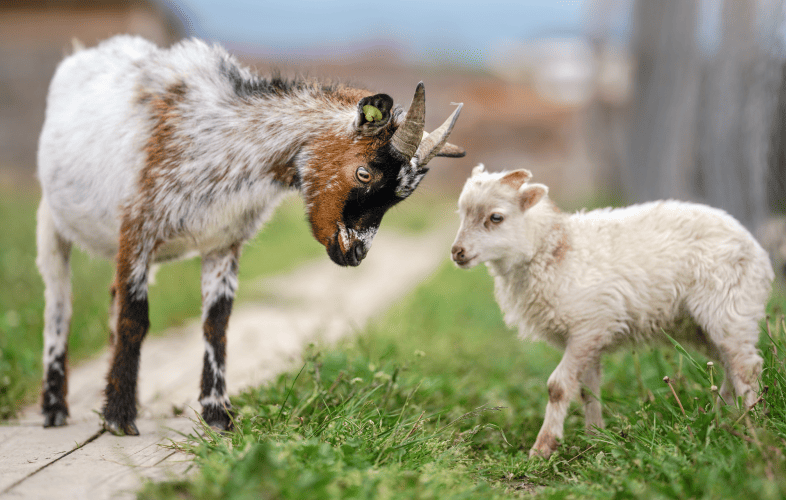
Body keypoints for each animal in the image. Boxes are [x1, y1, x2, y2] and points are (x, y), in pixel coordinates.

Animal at [36, 35, 465, 435]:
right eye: (364, 172)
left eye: (401, 196)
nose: (356, 251)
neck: (227, 142)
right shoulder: (137, 231)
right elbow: (134, 320)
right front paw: (119, 418)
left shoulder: (223, 244)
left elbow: (216, 324)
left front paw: (218, 414)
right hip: (52, 222)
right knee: (60, 306)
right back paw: (55, 408)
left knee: (111, 296)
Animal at [451, 165, 773, 459]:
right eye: (461, 214)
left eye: (496, 217)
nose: (457, 253)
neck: (554, 249)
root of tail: (757, 249)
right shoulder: (588, 334)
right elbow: (587, 389)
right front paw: (596, 436)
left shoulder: (589, 324)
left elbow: (558, 387)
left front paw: (542, 448)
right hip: (700, 325)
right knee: (730, 364)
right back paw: (722, 418)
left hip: (728, 307)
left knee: (747, 366)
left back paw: (753, 423)